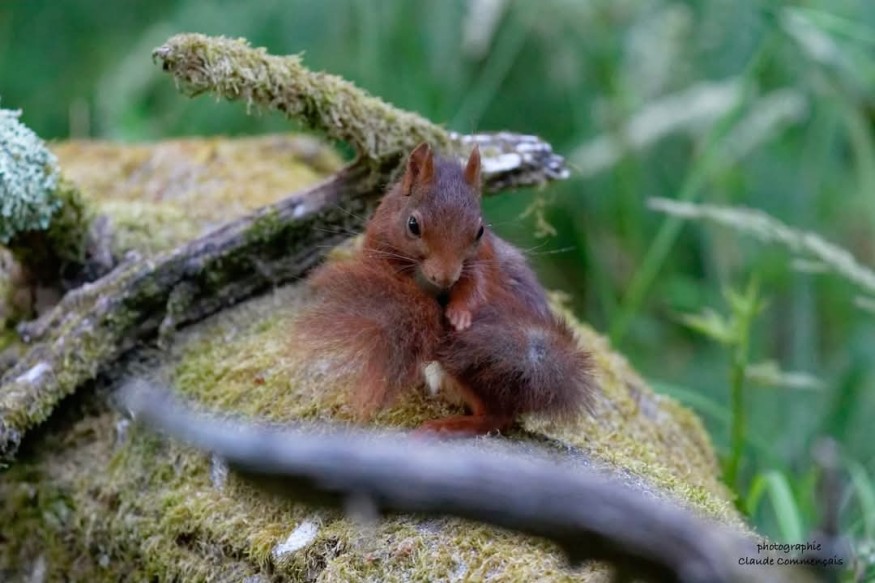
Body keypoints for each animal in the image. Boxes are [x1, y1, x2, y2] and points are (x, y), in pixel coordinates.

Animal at [295, 143, 596, 435]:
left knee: (497, 417)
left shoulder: (482, 260)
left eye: (480, 230)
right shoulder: (378, 245)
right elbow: (382, 274)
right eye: (413, 225)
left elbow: (478, 285)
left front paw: (459, 313)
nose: (445, 277)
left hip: (477, 364)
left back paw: (449, 425)